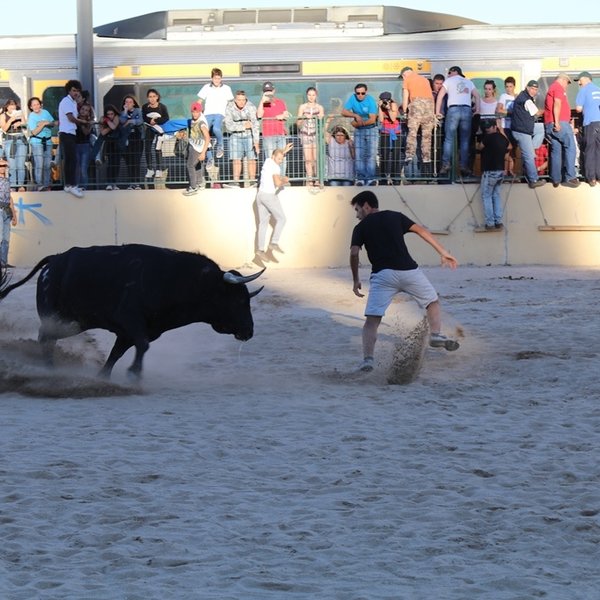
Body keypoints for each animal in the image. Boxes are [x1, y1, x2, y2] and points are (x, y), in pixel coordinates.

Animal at [0, 245, 264, 378]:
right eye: (239, 301)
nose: (249, 331)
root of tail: (54, 261)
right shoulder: (130, 320)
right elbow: (142, 346)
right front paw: (134, 372)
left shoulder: (129, 332)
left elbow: (117, 354)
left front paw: (104, 375)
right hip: (58, 319)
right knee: (45, 338)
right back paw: (50, 370)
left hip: (73, 323)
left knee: (47, 339)